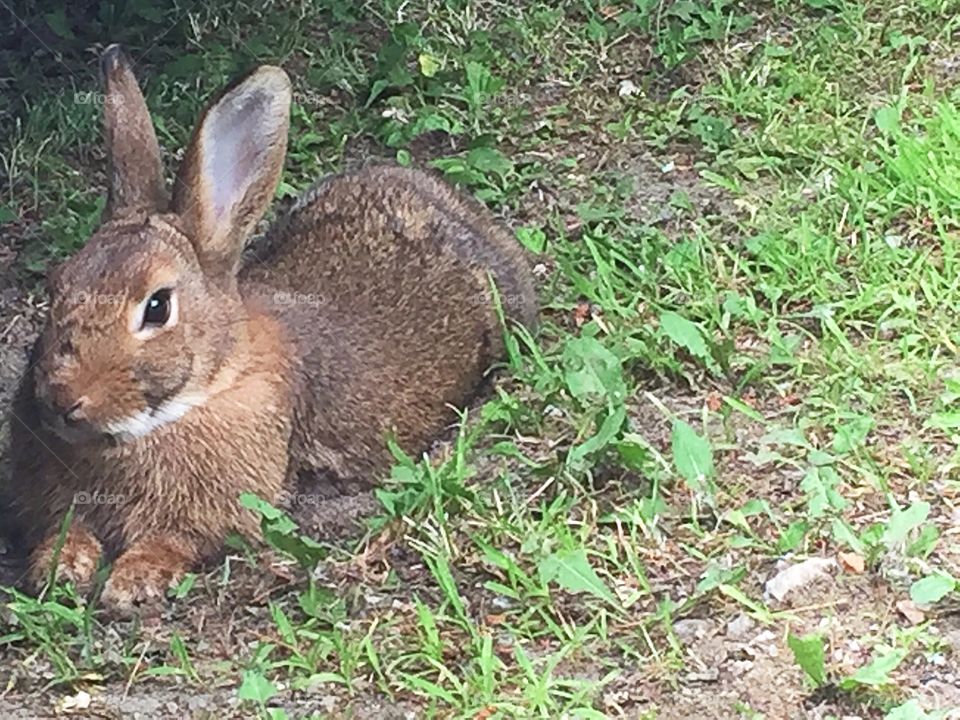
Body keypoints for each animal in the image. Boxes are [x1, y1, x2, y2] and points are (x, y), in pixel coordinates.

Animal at [3, 45, 536, 612]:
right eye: (58, 283)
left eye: (157, 307)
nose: (62, 399)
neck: (201, 390)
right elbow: (65, 531)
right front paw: (60, 567)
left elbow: (175, 541)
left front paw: (133, 580)